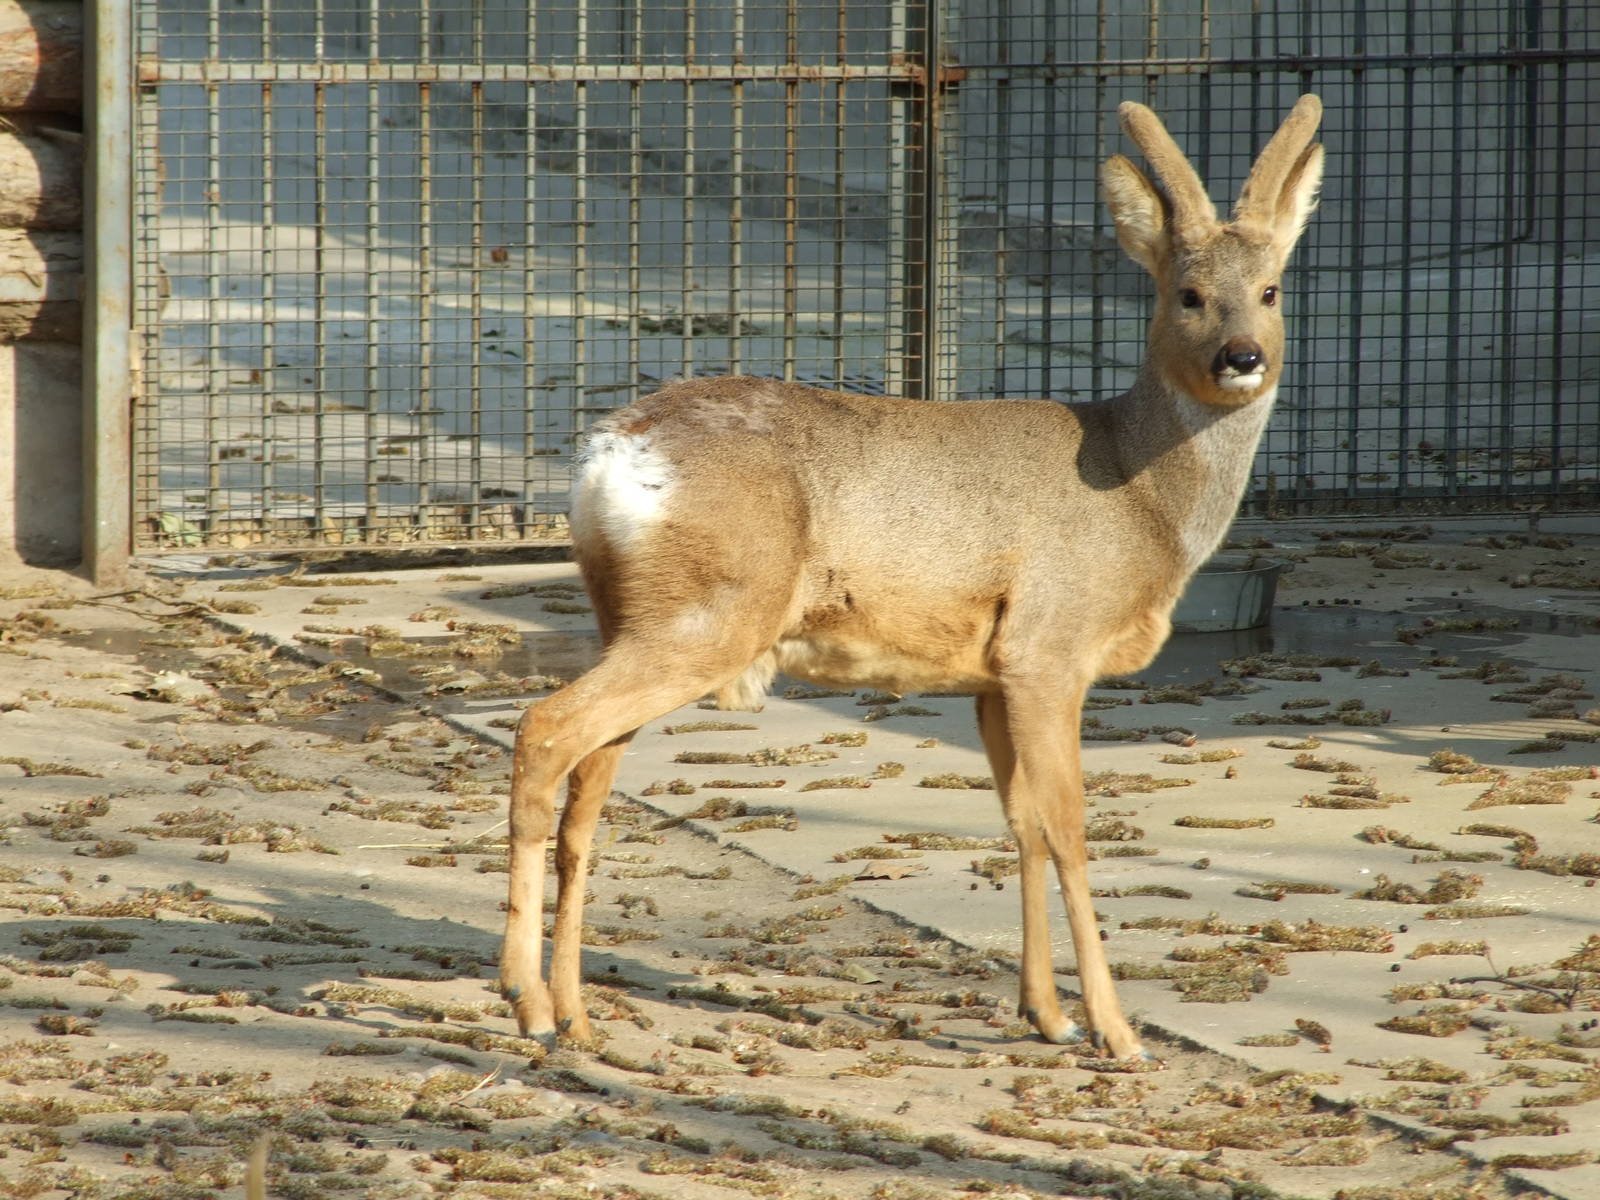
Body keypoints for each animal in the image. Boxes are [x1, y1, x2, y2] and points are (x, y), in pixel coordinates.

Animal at [498, 95, 1324, 1061]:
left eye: (1271, 290)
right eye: (1186, 294)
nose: (1242, 355)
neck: (1138, 492)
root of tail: (606, 457)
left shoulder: (991, 676)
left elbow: (1021, 824)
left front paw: (1043, 1013)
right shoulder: (1048, 646)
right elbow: (1071, 829)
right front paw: (1114, 1031)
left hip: (638, 617)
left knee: (587, 786)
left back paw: (574, 1014)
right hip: (708, 615)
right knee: (546, 730)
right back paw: (522, 997)